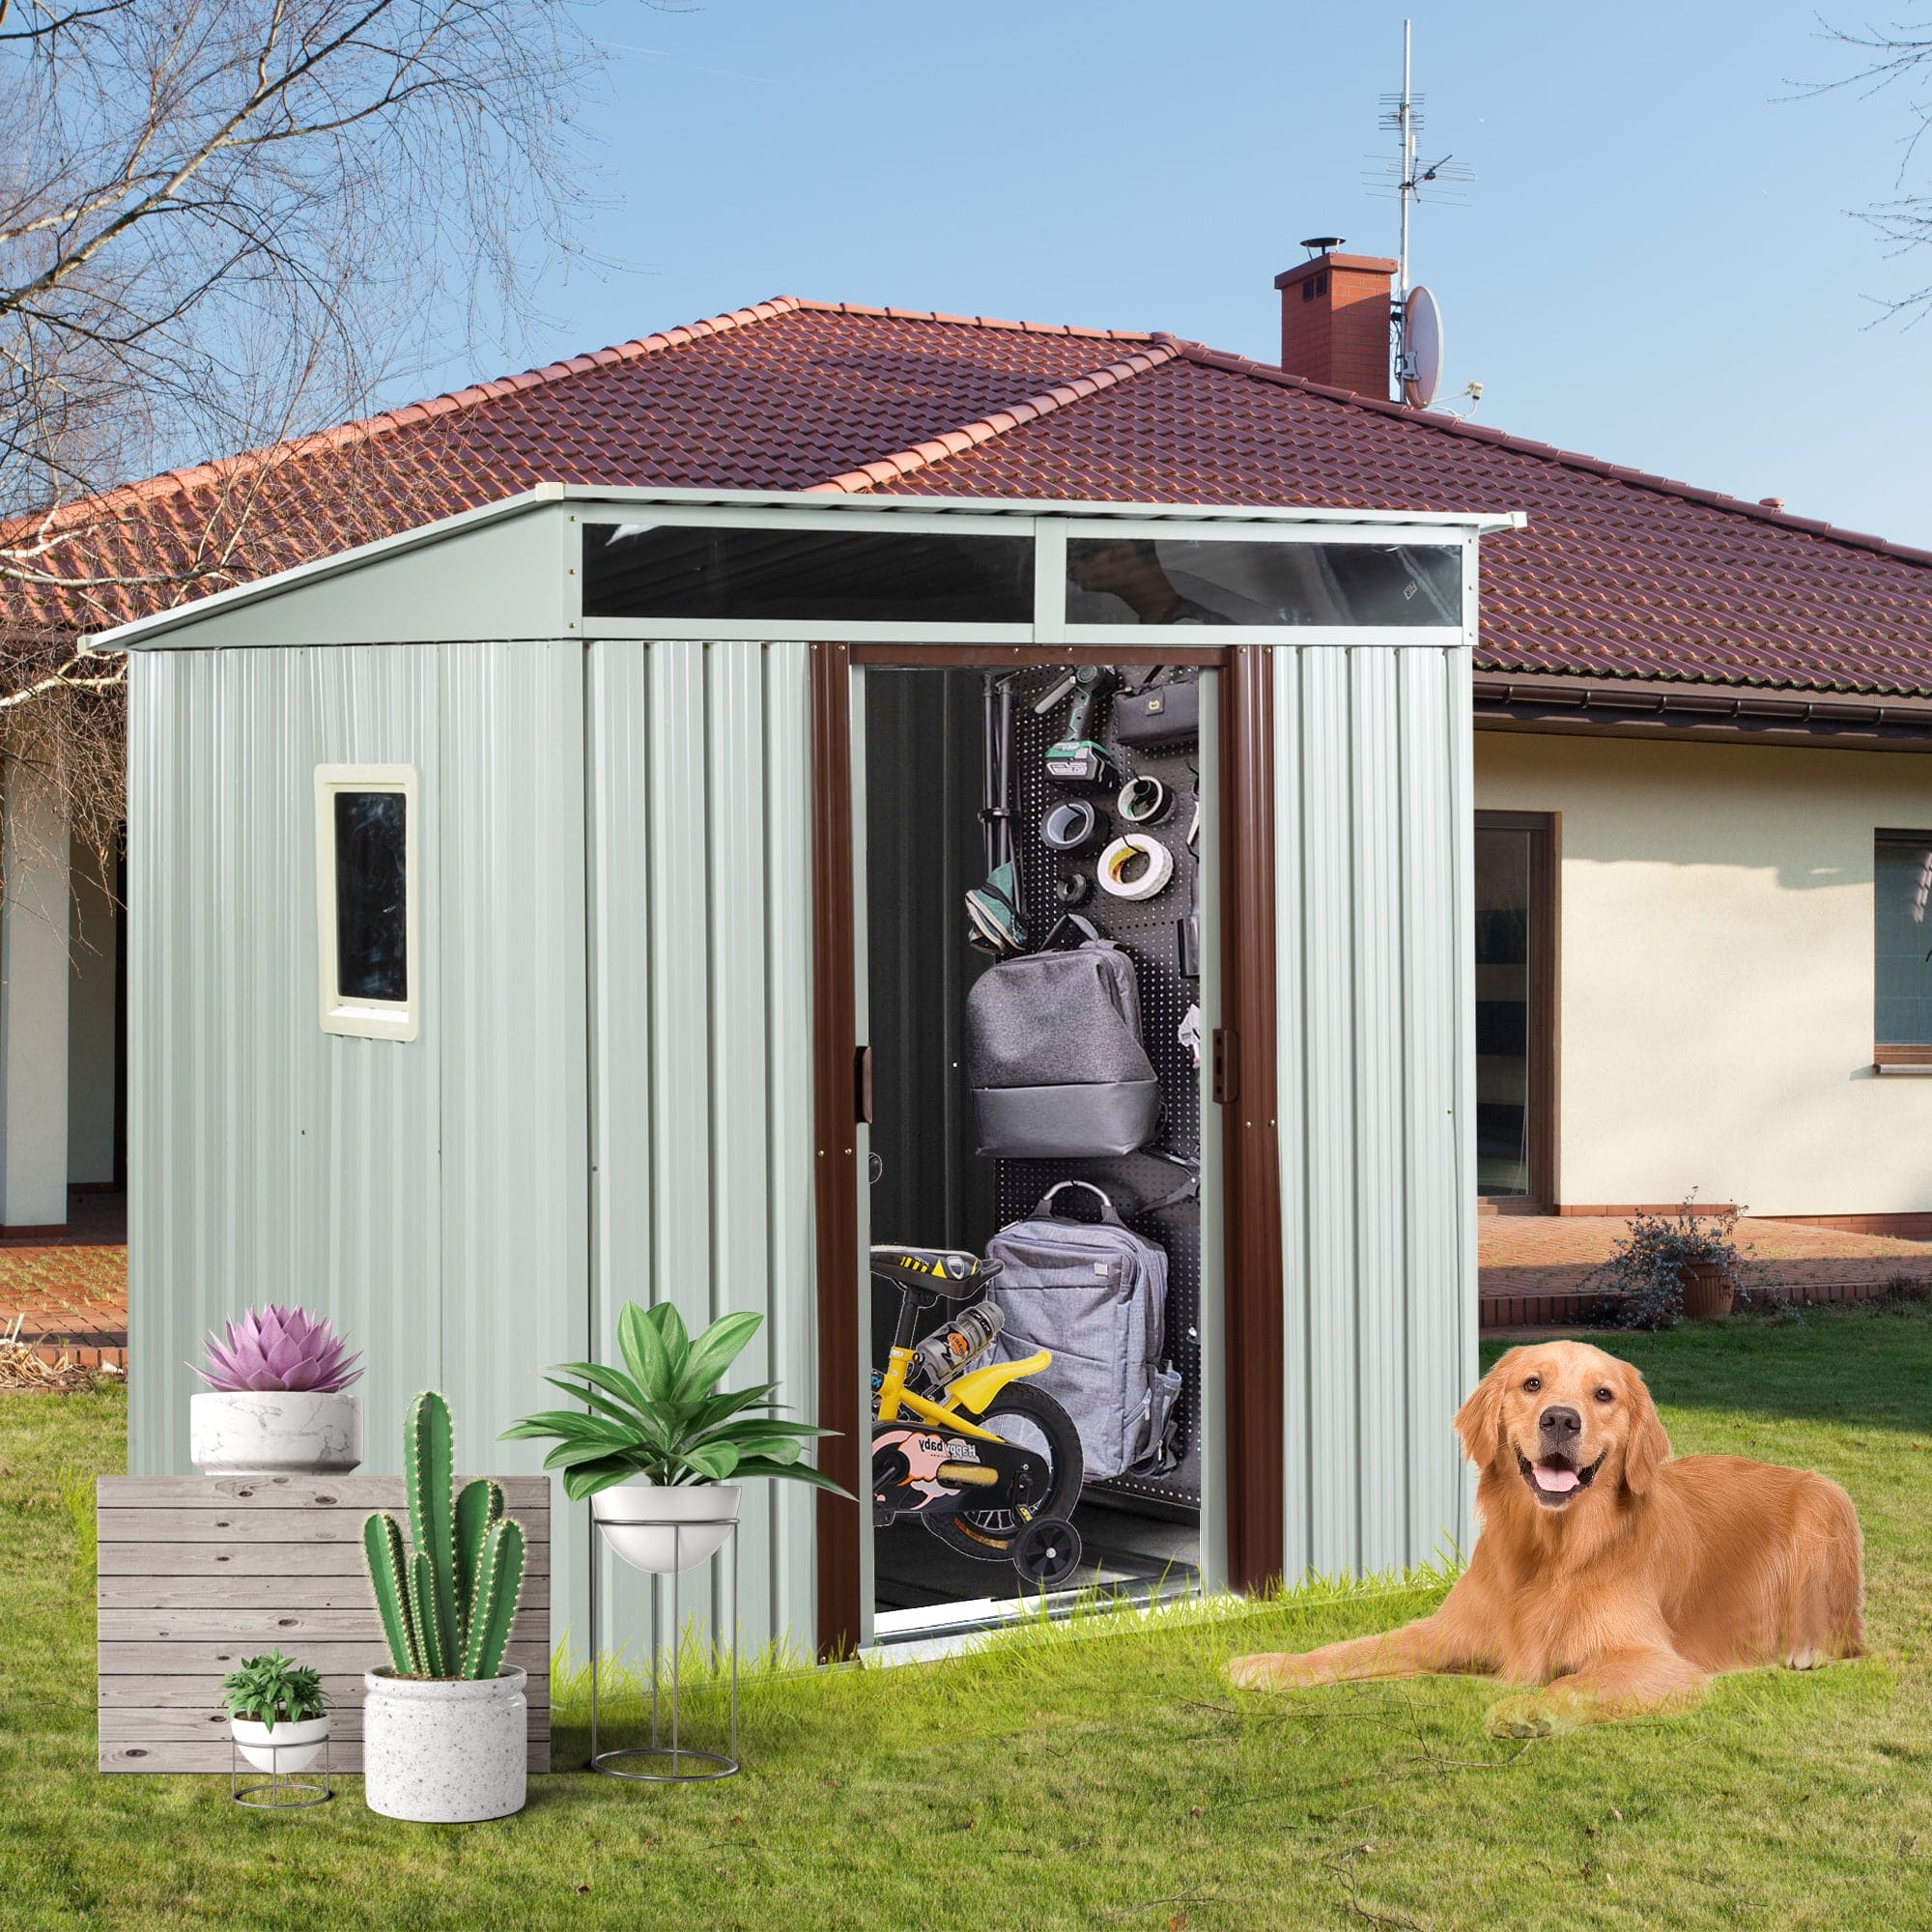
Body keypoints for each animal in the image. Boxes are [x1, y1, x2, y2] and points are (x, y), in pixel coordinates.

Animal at [1229, 1345, 1862, 1739]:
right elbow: (1355, 1648)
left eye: (1603, 1395)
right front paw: (1269, 1664)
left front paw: (1526, 1711)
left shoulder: (1662, 1665)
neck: (1553, 1554)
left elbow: (1577, 1681)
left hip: (1828, 1499)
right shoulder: (1447, 1630)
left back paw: (1808, 1651)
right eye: (1531, 1384)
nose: (1561, 1419)